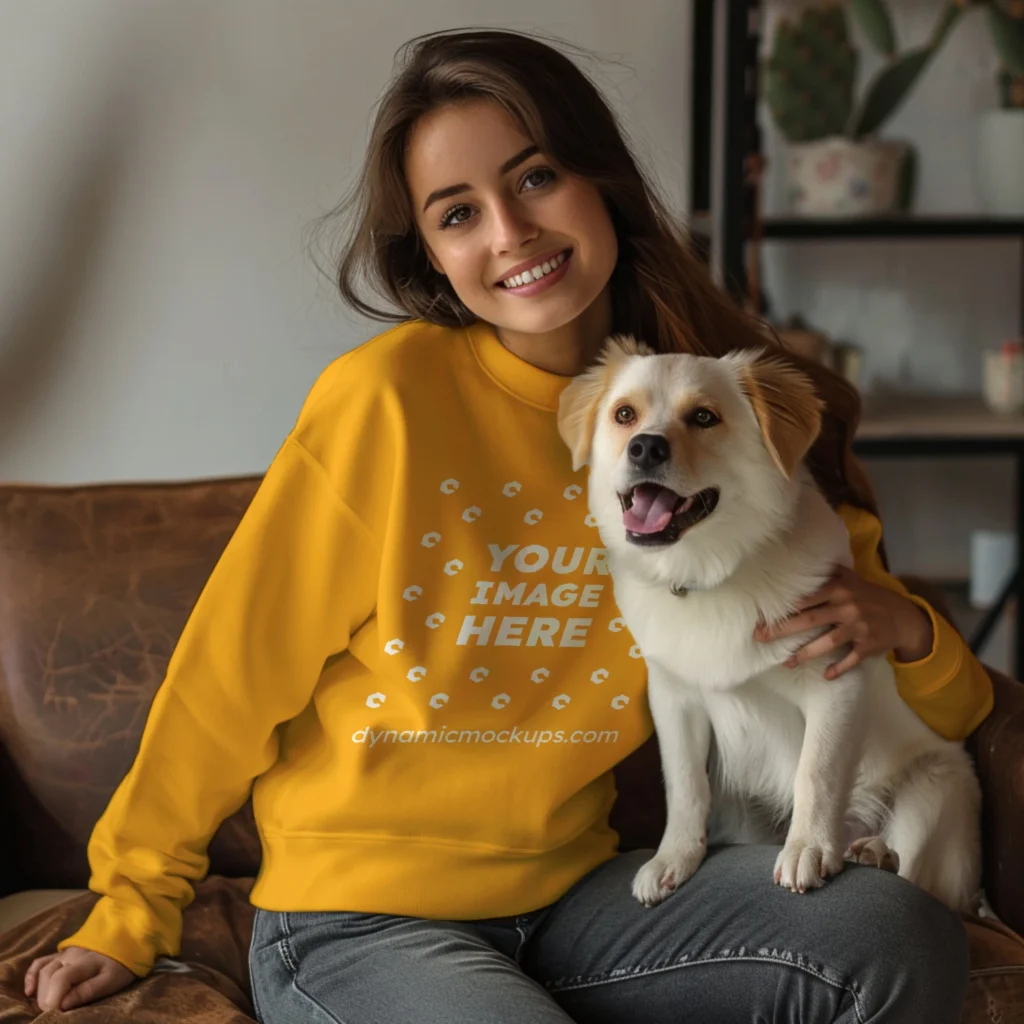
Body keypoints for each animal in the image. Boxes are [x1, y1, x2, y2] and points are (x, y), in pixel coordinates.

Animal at [561, 335, 983, 913]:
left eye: (704, 417)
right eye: (624, 414)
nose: (645, 447)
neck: (711, 573)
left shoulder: (834, 681)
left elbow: (816, 774)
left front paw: (809, 848)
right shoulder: (674, 699)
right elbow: (685, 785)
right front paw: (674, 858)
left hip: (934, 790)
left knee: (918, 871)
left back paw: (871, 852)